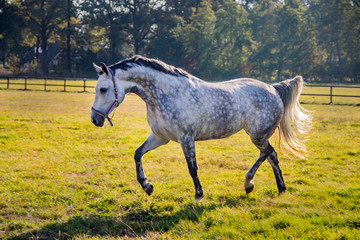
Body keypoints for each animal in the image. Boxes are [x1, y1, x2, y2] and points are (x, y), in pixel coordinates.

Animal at [90, 55, 312, 200]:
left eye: (103, 89)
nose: (94, 119)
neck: (166, 94)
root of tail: (272, 88)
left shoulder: (186, 138)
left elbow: (192, 168)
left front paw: (199, 195)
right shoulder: (161, 136)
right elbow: (137, 154)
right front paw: (147, 186)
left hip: (257, 135)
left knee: (268, 153)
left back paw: (249, 183)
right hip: (260, 136)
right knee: (272, 155)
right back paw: (280, 188)